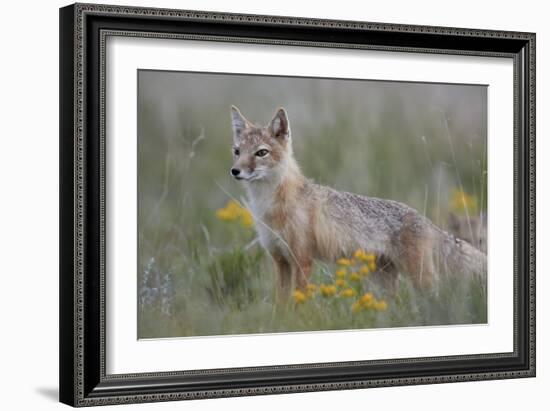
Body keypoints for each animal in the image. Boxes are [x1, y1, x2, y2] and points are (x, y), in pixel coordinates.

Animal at [229, 106, 488, 298]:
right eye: (237, 151)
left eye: (261, 153)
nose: (235, 171)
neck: (269, 206)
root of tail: (425, 220)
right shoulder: (281, 262)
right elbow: (281, 308)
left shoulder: (303, 261)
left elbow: (298, 305)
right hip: (384, 283)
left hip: (421, 280)